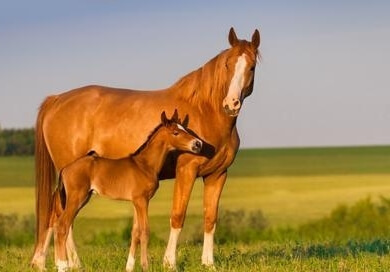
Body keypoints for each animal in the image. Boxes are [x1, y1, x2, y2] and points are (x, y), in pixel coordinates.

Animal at [49, 111, 201, 272]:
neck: (144, 165)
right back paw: (63, 266)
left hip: (82, 199)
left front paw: (130, 267)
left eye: (185, 129)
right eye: (176, 132)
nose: (198, 144)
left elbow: (135, 232)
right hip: (76, 198)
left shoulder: (137, 202)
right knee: (62, 225)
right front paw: (145, 266)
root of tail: (65, 169)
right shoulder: (142, 200)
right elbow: (144, 231)